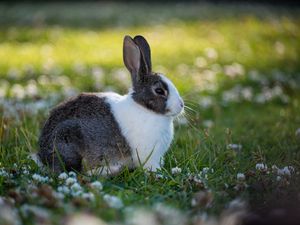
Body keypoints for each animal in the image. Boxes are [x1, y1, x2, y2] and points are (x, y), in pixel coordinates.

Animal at [36, 35, 184, 176]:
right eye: (159, 91)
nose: (181, 105)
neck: (144, 108)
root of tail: (42, 157)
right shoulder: (148, 156)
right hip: (68, 139)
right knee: (76, 171)